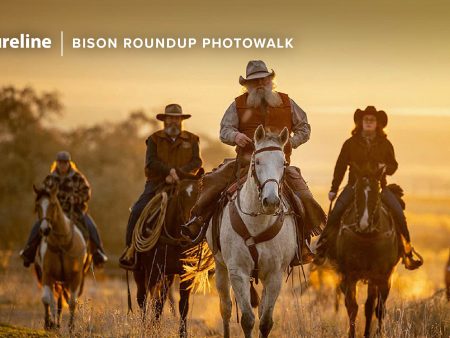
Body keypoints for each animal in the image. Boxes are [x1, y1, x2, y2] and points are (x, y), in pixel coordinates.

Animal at [33, 185, 89, 330]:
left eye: (53, 204)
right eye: (37, 205)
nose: (45, 229)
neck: (61, 245)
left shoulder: (75, 277)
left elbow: (72, 302)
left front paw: (71, 326)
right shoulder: (47, 274)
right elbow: (47, 299)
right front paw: (48, 323)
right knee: (53, 300)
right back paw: (54, 323)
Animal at [133, 178, 201, 336]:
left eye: (199, 193)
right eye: (181, 195)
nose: (189, 227)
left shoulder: (185, 274)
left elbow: (183, 305)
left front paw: (182, 333)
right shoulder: (154, 271)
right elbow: (153, 301)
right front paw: (151, 329)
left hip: (168, 276)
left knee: (161, 299)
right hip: (140, 273)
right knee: (142, 299)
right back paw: (144, 326)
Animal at [207, 126, 298, 338]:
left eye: (283, 163)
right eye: (257, 161)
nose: (271, 201)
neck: (257, 222)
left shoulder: (274, 275)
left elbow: (265, 321)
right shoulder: (237, 271)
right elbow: (247, 319)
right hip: (220, 266)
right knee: (226, 308)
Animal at [336, 163, 402, 336]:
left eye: (376, 193)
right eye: (357, 193)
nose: (364, 224)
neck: (367, 239)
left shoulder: (383, 277)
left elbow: (377, 309)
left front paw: (376, 333)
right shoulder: (349, 276)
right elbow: (352, 308)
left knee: (372, 306)